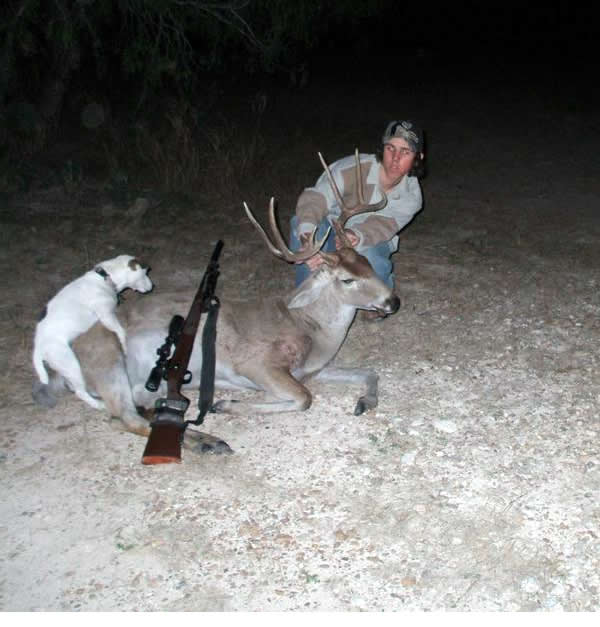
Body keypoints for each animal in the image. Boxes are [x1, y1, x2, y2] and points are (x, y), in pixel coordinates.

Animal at [31, 255, 155, 412]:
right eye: (145, 273)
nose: (152, 286)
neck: (106, 277)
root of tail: (38, 347)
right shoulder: (106, 316)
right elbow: (121, 331)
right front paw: (125, 346)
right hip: (71, 365)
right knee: (80, 392)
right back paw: (98, 404)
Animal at [58, 151, 400, 454]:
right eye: (347, 279)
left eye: (367, 263)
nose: (393, 301)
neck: (312, 331)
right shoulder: (256, 363)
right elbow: (304, 398)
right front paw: (225, 403)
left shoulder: (313, 369)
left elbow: (369, 371)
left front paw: (365, 402)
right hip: (111, 365)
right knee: (124, 417)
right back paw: (209, 442)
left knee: (138, 413)